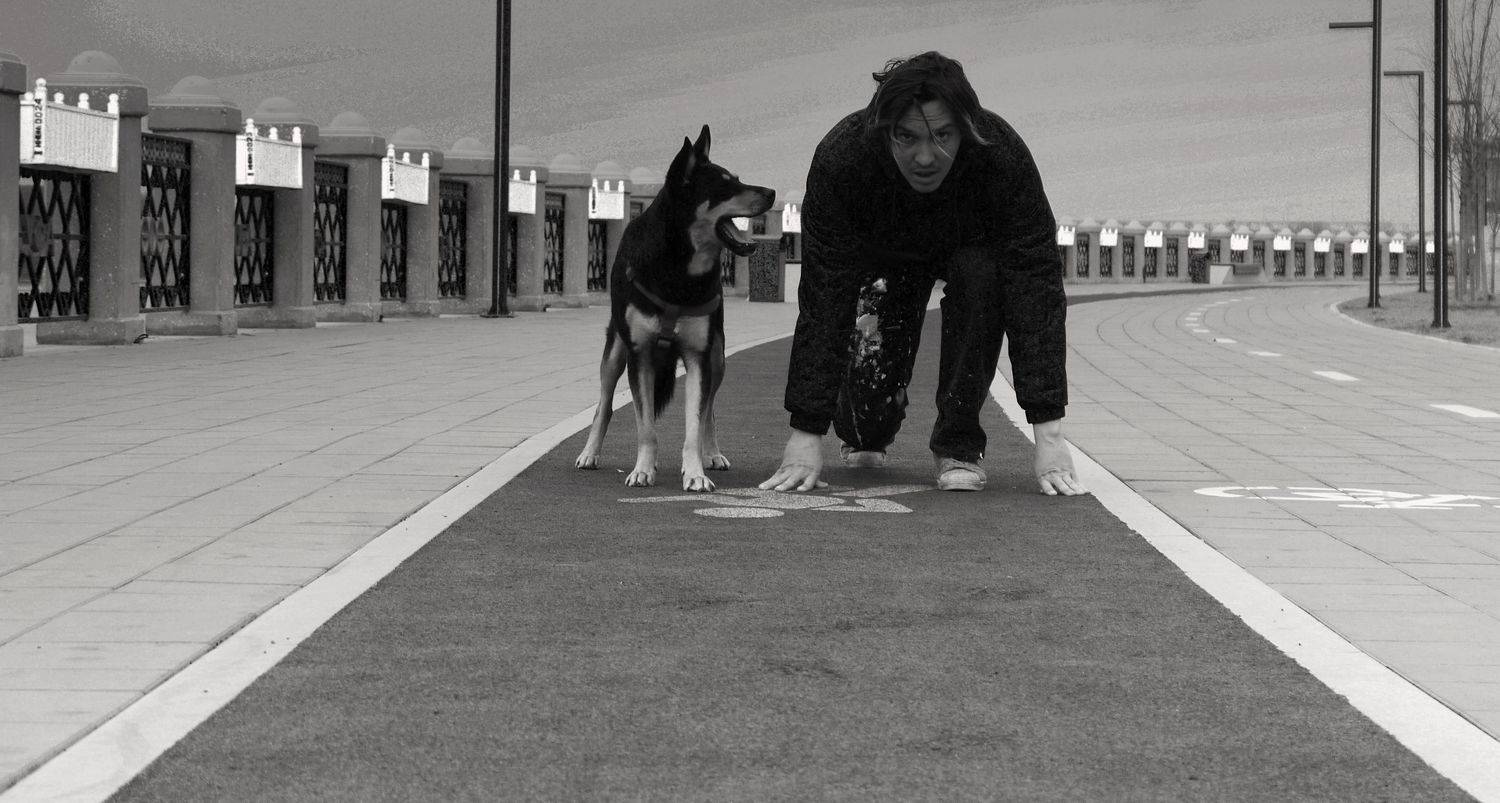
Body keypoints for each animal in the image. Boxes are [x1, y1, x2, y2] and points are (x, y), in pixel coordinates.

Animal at [574, 125, 774, 491]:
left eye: (738, 179)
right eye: (725, 186)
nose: (771, 192)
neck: (680, 267)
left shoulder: (698, 355)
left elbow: (695, 423)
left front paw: (695, 473)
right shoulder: (639, 354)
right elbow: (645, 427)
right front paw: (642, 470)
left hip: (718, 356)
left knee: (710, 409)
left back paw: (713, 453)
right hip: (616, 351)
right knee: (604, 403)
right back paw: (590, 452)